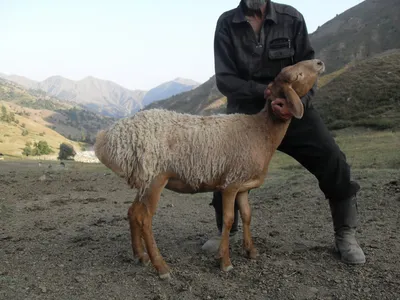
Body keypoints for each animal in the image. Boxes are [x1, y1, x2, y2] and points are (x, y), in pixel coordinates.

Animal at [94, 58, 324, 278]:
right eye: (296, 74)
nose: (319, 62)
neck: (261, 131)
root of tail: (108, 139)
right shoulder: (231, 184)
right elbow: (229, 220)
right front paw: (225, 261)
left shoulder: (243, 185)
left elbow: (247, 215)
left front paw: (250, 251)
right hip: (155, 178)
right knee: (144, 219)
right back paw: (161, 267)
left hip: (144, 177)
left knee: (133, 213)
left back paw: (140, 256)